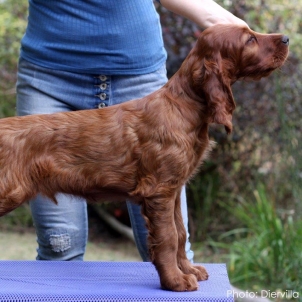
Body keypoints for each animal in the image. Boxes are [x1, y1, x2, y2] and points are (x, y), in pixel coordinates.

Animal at [0, 25, 288, 290]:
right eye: (249, 39)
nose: (286, 38)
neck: (184, 106)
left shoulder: (173, 189)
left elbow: (180, 232)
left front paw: (188, 270)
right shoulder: (158, 191)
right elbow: (168, 237)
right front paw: (176, 281)